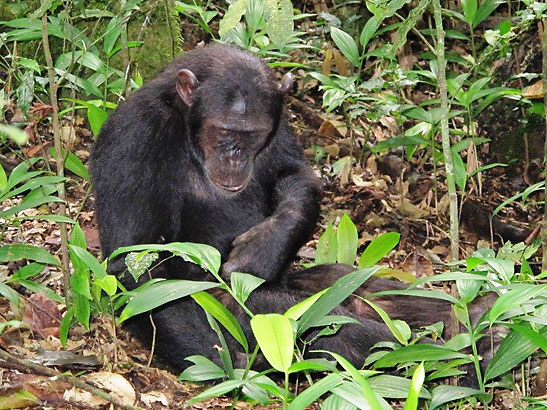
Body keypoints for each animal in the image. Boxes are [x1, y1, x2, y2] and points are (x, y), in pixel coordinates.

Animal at [90, 44, 492, 374]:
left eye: (252, 134)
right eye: (224, 131)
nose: (235, 157)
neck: (185, 126)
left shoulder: (279, 123)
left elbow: (294, 174)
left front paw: (266, 243)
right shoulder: (135, 137)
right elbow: (139, 266)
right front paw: (219, 360)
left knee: (354, 282)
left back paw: (472, 318)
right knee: (318, 320)